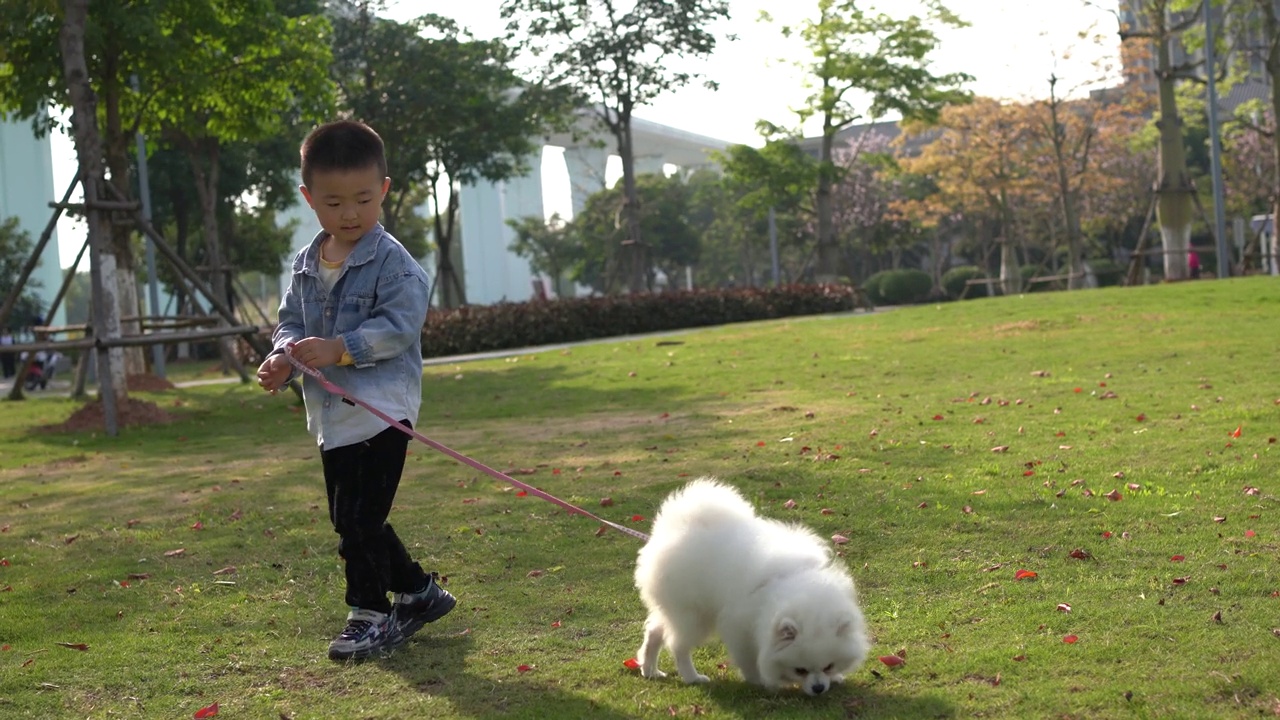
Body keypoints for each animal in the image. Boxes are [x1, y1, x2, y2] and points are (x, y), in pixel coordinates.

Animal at [637, 479, 870, 691]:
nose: (819, 688)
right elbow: (748, 658)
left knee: (654, 632)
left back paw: (650, 670)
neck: (788, 581)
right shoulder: (739, 627)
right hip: (693, 615)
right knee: (678, 646)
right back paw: (692, 677)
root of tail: (675, 526)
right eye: (800, 670)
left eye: (828, 666)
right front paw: (757, 680)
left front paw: (836, 677)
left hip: (674, 611)